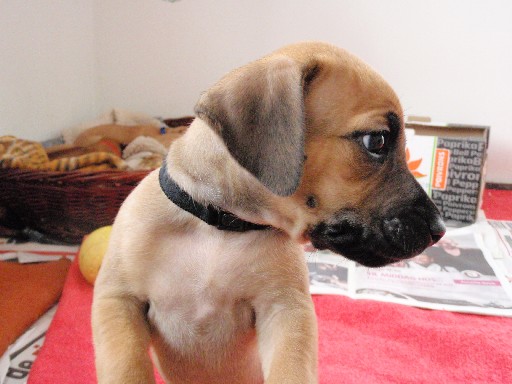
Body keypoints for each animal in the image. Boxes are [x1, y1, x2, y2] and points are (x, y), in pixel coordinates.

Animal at [92, 42, 444, 384]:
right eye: (376, 141)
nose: (439, 229)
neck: (221, 226)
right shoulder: (117, 300)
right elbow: (126, 365)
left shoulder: (285, 309)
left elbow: (291, 368)